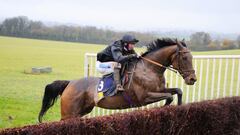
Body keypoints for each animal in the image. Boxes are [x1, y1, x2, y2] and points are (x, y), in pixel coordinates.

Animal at [38, 37, 197, 122]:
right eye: (184, 58)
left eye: (191, 57)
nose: (192, 79)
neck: (149, 69)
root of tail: (69, 83)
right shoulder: (145, 97)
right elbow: (169, 96)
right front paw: (163, 109)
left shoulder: (159, 89)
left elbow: (177, 91)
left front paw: (179, 109)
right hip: (69, 113)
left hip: (81, 111)